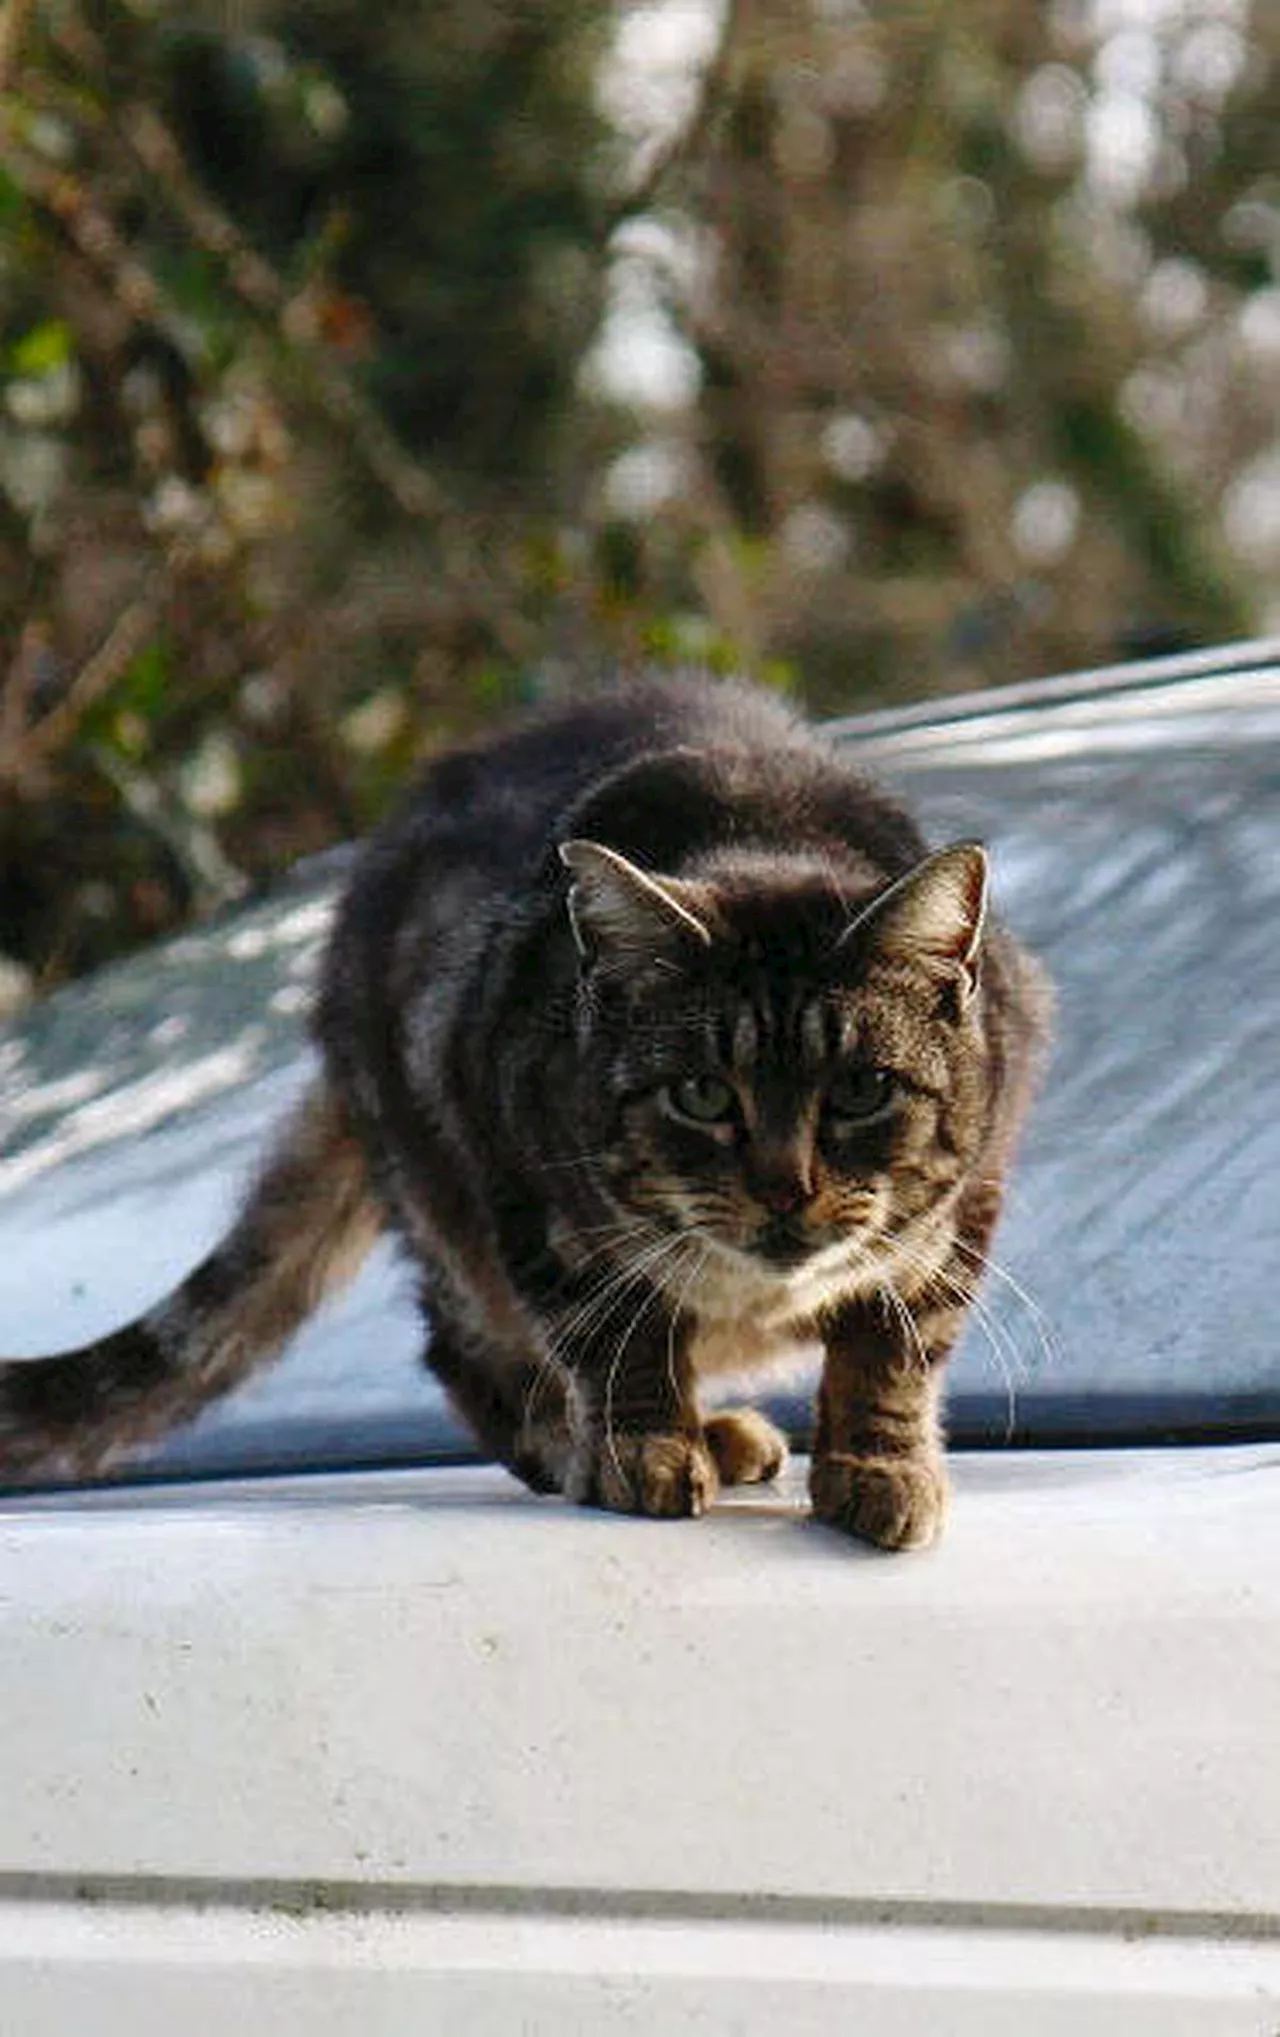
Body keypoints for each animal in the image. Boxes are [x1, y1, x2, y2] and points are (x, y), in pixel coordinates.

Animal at [0, 676, 1051, 1548]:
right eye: (703, 1093)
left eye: (862, 1090)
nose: (785, 1189)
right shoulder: (526, 1183)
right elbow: (616, 1325)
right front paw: (642, 1449)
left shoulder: (966, 1203)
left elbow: (894, 1345)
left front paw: (879, 1468)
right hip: (441, 1189)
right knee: (467, 1349)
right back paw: (596, 1438)